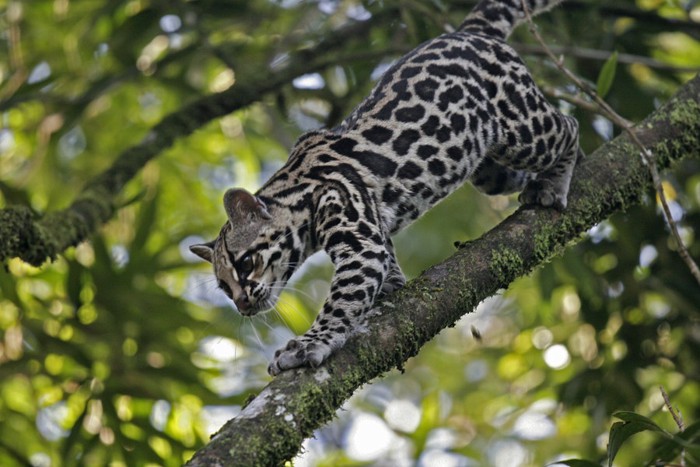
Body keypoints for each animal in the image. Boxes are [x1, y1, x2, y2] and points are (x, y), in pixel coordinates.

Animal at [190, 0, 580, 374]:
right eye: (223, 287)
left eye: (245, 263)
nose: (242, 305)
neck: (297, 192)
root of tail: (470, 31)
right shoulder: (372, 224)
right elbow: (384, 258)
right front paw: (390, 283)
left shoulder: (357, 238)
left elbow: (340, 301)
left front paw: (308, 344)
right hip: (488, 169)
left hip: (522, 127)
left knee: (569, 125)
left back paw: (555, 181)